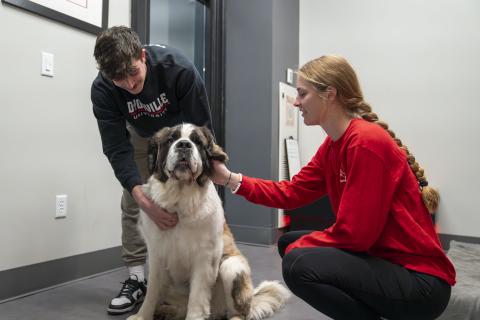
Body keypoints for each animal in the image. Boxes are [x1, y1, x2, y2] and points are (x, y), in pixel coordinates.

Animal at [127, 124, 288, 320]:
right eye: (171, 139)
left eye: (197, 142)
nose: (184, 145)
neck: (180, 200)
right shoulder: (157, 253)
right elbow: (152, 290)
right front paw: (142, 316)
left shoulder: (204, 257)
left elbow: (197, 297)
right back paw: (167, 311)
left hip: (231, 267)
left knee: (240, 312)